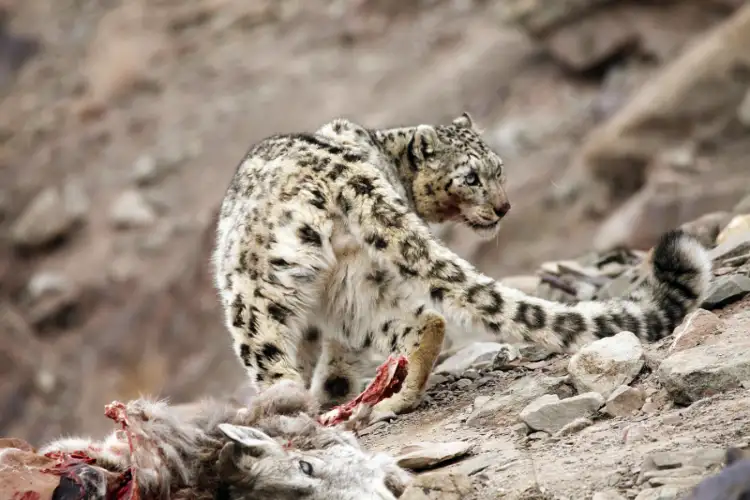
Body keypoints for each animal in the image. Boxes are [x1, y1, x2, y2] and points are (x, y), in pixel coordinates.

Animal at [213, 111, 712, 418]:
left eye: (498, 169)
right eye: (471, 177)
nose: (504, 207)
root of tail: (346, 172)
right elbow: (336, 360)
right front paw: (335, 392)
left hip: (256, 296)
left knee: (274, 364)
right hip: (351, 286)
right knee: (424, 321)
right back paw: (396, 399)